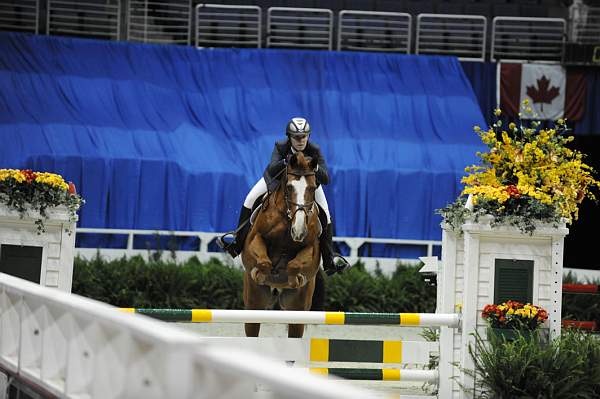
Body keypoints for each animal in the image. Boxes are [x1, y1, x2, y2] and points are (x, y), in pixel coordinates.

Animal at [239, 152, 324, 340]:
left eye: (313, 188)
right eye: (290, 187)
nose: (298, 231)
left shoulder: (311, 248)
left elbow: (295, 264)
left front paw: (295, 279)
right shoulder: (255, 238)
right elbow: (263, 262)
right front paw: (260, 274)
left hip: (297, 310)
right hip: (254, 303)